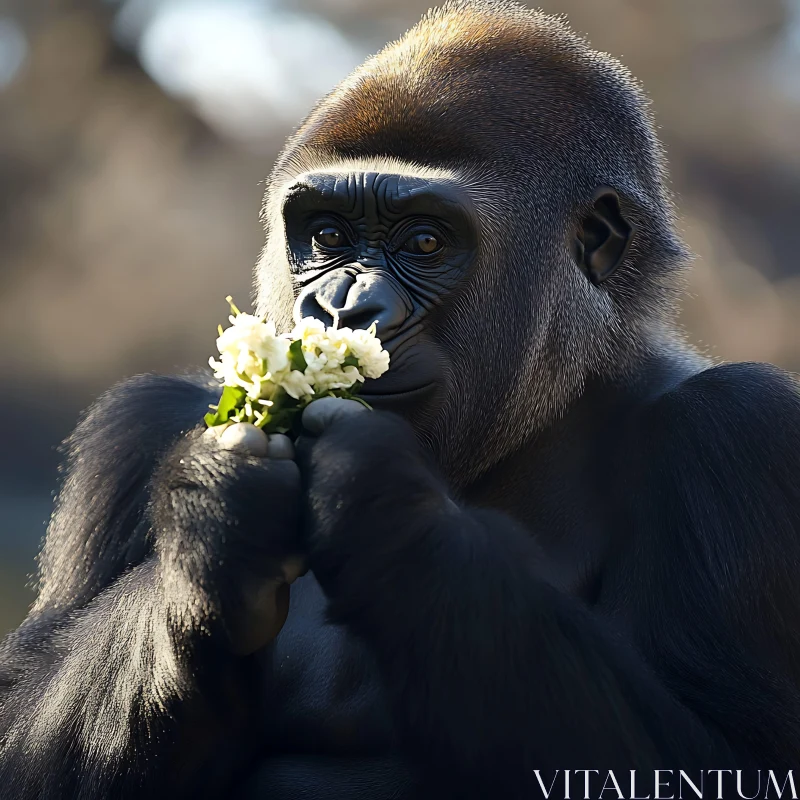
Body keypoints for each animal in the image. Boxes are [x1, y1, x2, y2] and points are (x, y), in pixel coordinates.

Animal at [1, 0, 800, 796]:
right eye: (326, 233)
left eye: (424, 241)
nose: (341, 308)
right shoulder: (138, 425)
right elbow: (18, 719)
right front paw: (205, 524)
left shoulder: (741, 428)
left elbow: (730, 750)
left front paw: (384, 508)